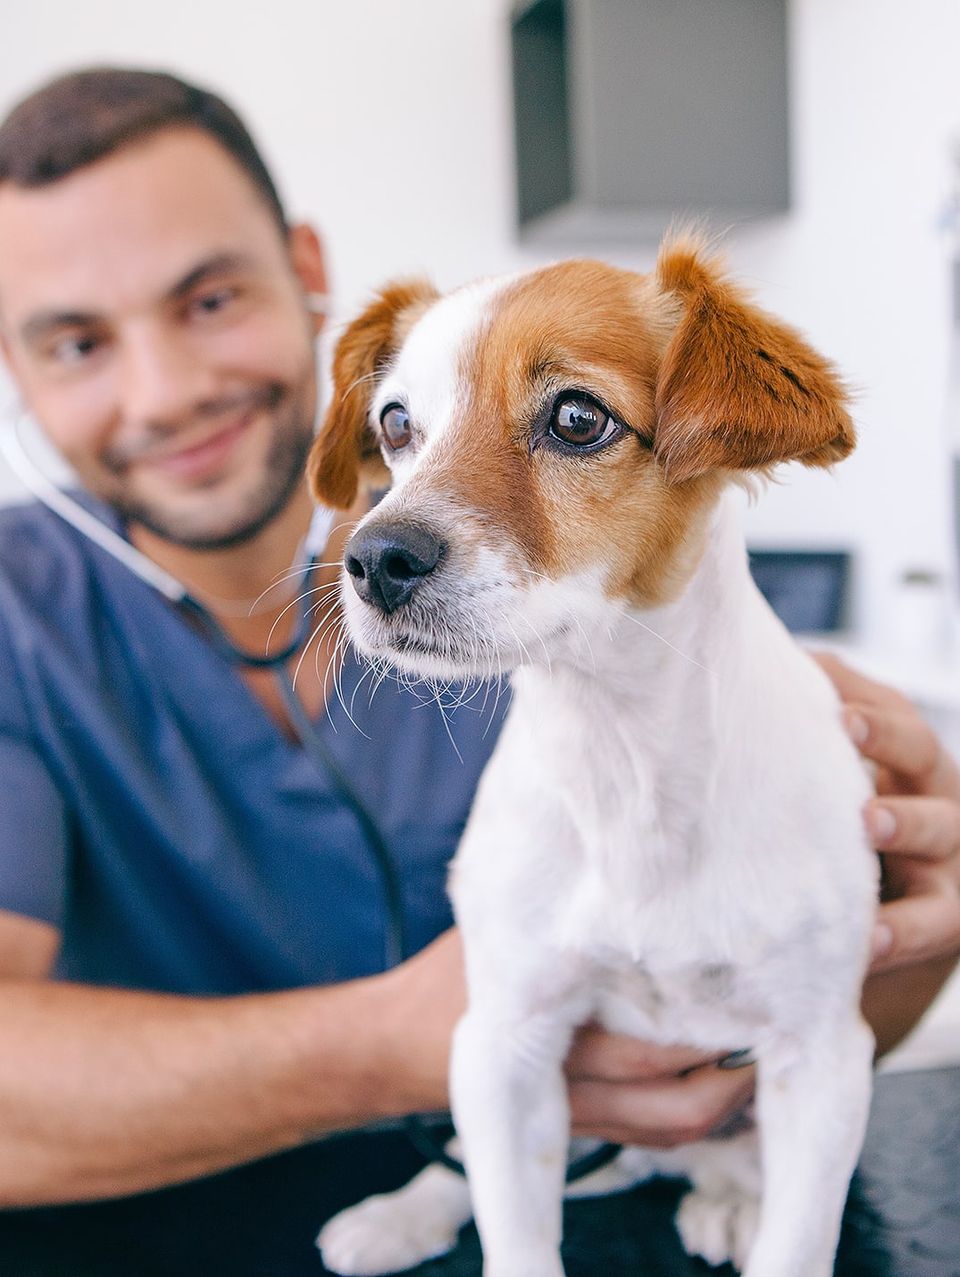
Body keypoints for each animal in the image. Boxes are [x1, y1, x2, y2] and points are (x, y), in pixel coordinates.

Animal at [308, 240, 878, 1277]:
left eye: (578, 418)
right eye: (396, 424)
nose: (371, 561)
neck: (621, 754)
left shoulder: (821, 1058)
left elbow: (796, 1240)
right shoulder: (507, 1039)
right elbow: (513, 1231)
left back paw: (727, 1195)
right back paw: (402, 1213)